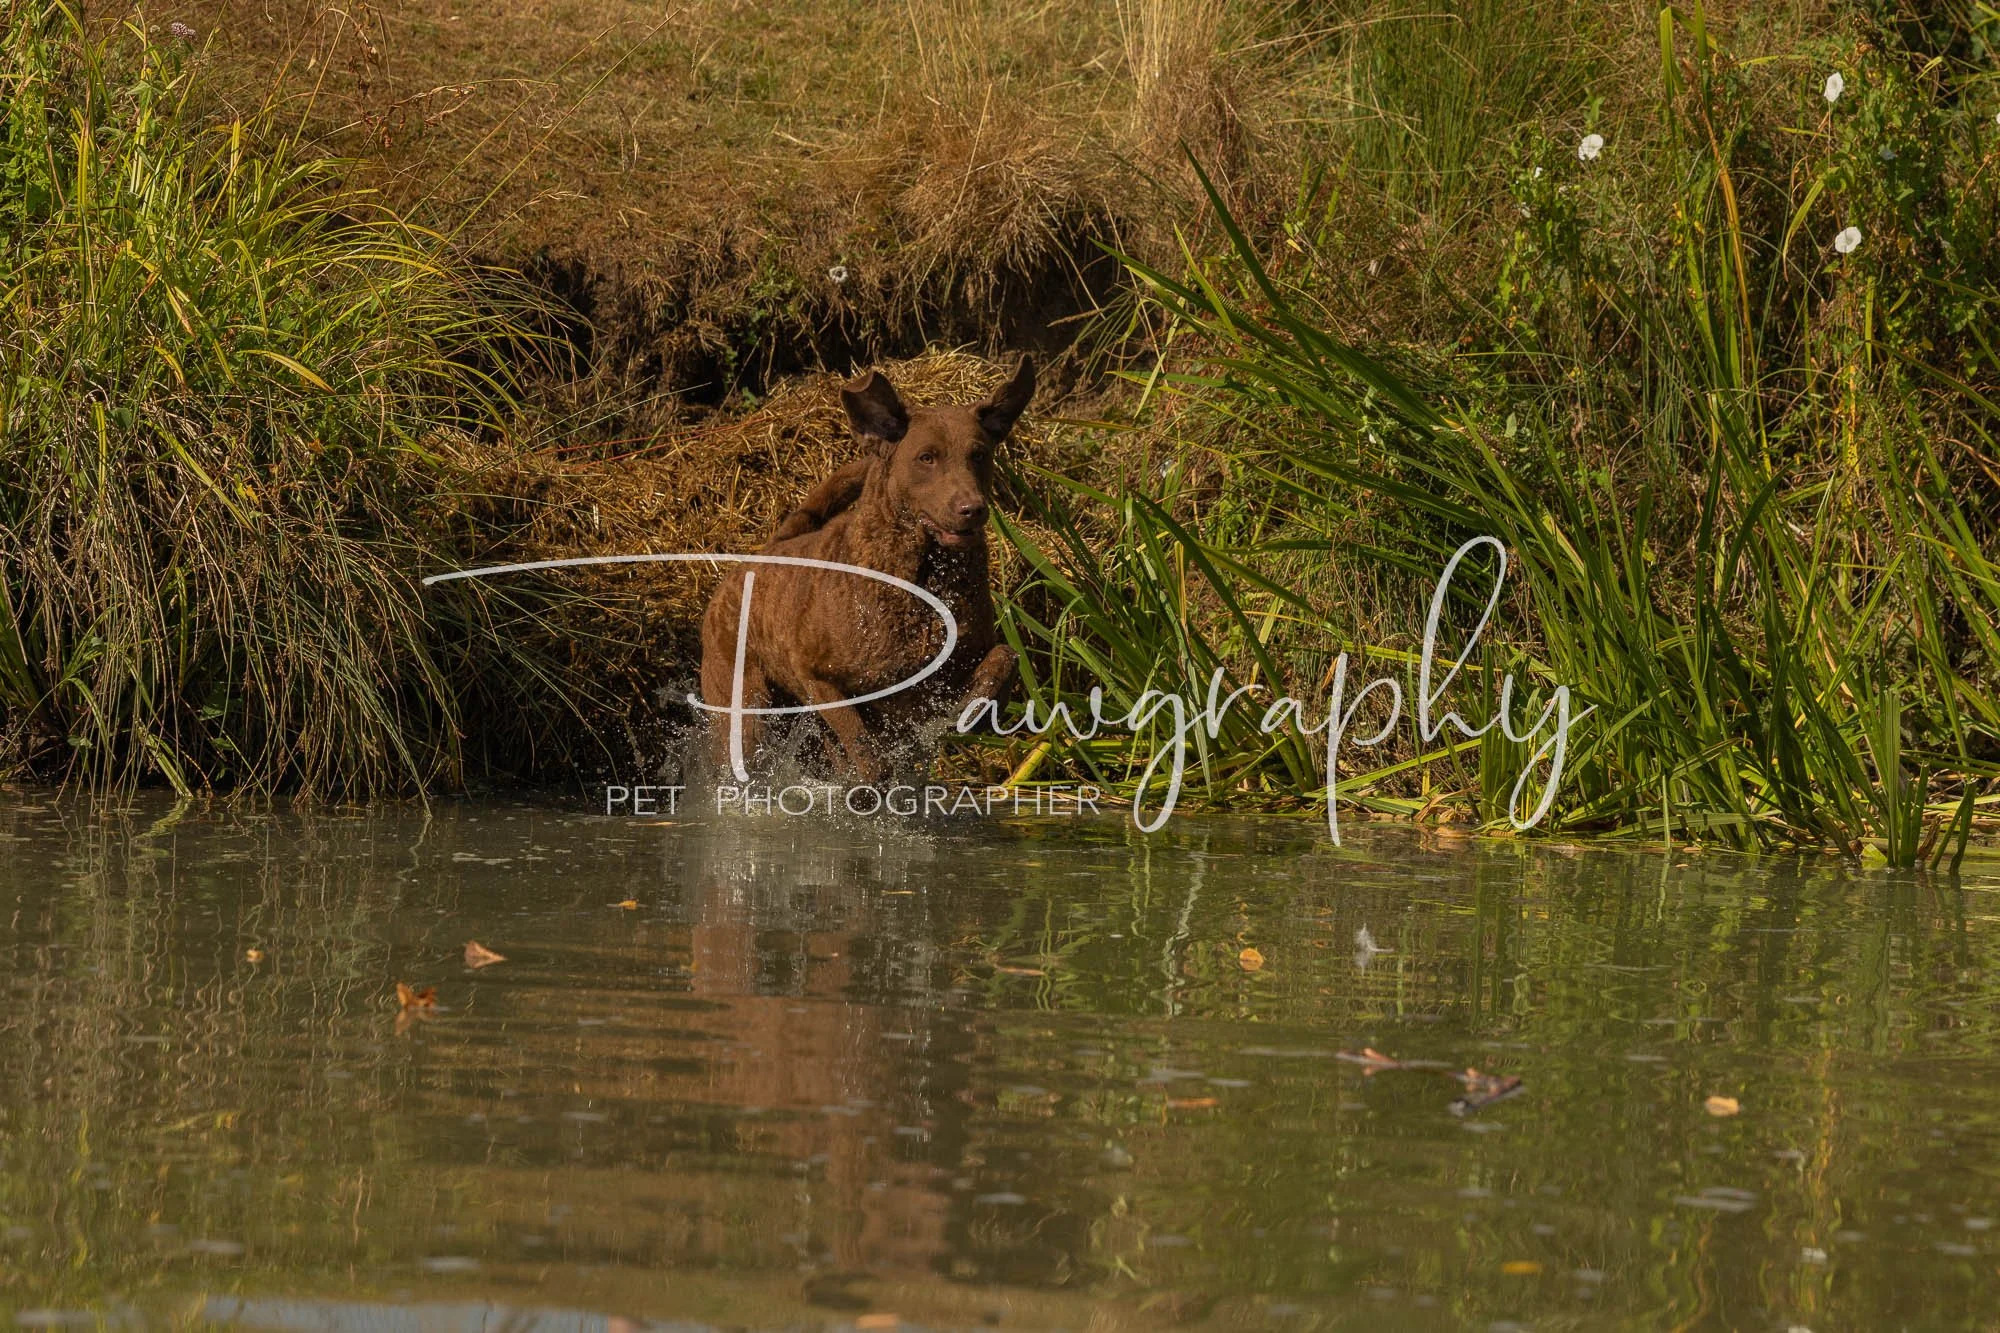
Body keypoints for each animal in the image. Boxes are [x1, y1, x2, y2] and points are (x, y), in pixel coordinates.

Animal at [698, 357, 1033, 781]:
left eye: (979, 455)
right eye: (927, 457)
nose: (972, 508)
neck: (921, 578)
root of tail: (761, 553)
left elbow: (1006, 655)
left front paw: (973, 708)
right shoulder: (819, 678)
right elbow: (865, 749)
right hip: (746, 702)